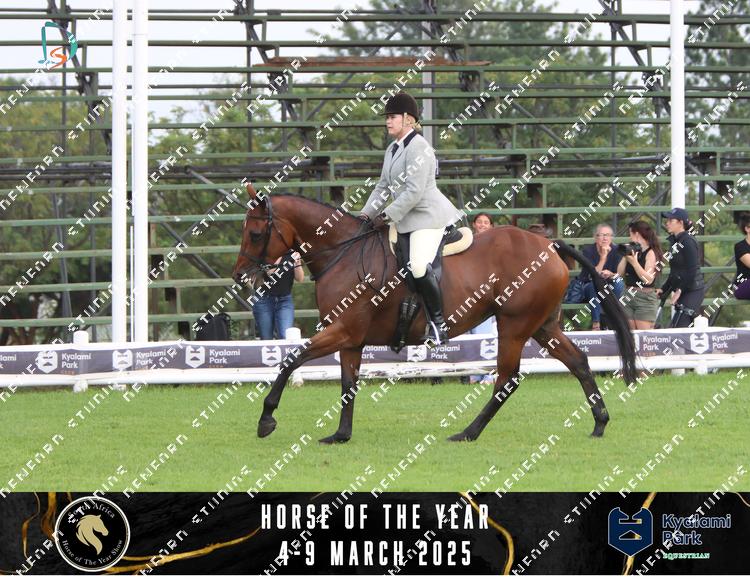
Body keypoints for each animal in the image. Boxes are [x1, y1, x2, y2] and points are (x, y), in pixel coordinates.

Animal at [232, 184, 637, 444]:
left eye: (255, 234)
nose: (240, 276)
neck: (343, 252)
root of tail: (548, 244)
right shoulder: (350, 340)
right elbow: (348, 384)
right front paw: (341, 434)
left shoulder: (342, 331)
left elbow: (291, 360)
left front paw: (266, 419)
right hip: (542, 326)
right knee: (578, 361)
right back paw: (600, 423)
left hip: (514, 326)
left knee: (506, 379)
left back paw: (468, 433)